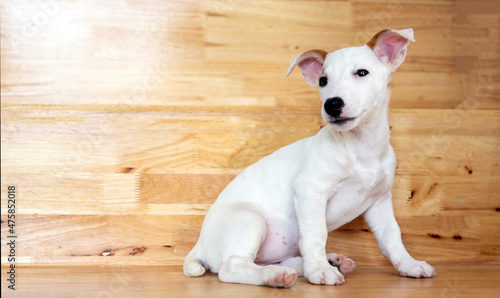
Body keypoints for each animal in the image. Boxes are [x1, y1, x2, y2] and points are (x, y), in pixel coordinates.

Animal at [185, 29, 438, 288]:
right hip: (249, 218)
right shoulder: (311, 190)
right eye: (323, 81)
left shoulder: (379, 201)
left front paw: (409, 264)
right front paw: (320, 270)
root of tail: (200, 245)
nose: (332, 104)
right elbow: (316, 233)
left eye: (361, 73)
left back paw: (329, 262)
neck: (360, 147)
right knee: (233, 267)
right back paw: (275, 276)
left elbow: (392, 236)